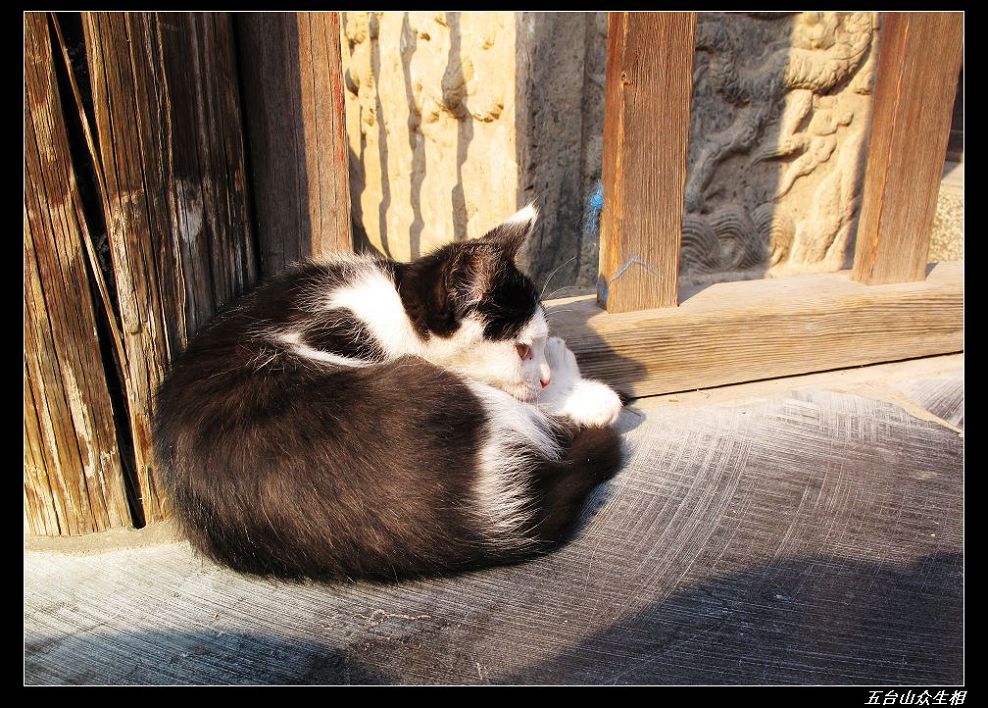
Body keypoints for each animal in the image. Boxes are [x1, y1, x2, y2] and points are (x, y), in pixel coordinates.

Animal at [154, 205, 624, 580]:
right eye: (522, 348)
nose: (542, 376)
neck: (393, 306)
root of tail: (483, 520)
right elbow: (527, 403)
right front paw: (574, 387)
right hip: (437, 390)